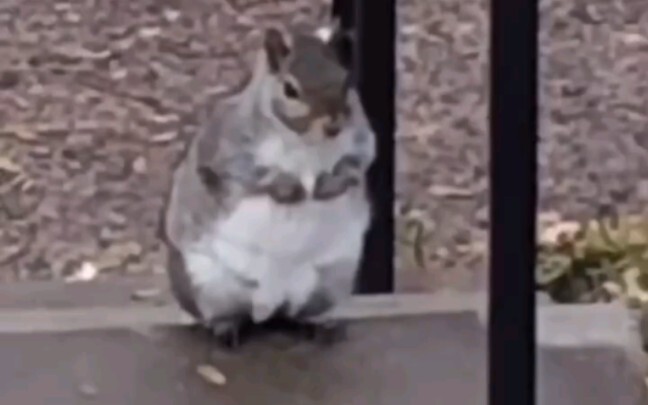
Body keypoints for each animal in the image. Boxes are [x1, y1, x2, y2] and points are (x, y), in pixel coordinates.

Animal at [161, 20, 376, 348]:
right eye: (290, 89)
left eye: (345, 81)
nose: (333, 125)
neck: (305, 142)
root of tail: (270, 302)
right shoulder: (228, 145)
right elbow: (247, 175)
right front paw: (289, 188)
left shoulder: (361, 137)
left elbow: (359, 161)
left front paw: (332, 183)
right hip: (208, 282)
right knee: (221, 311)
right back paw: (225, 327)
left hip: (330, 280)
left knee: (302, 313)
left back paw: (320, 324)